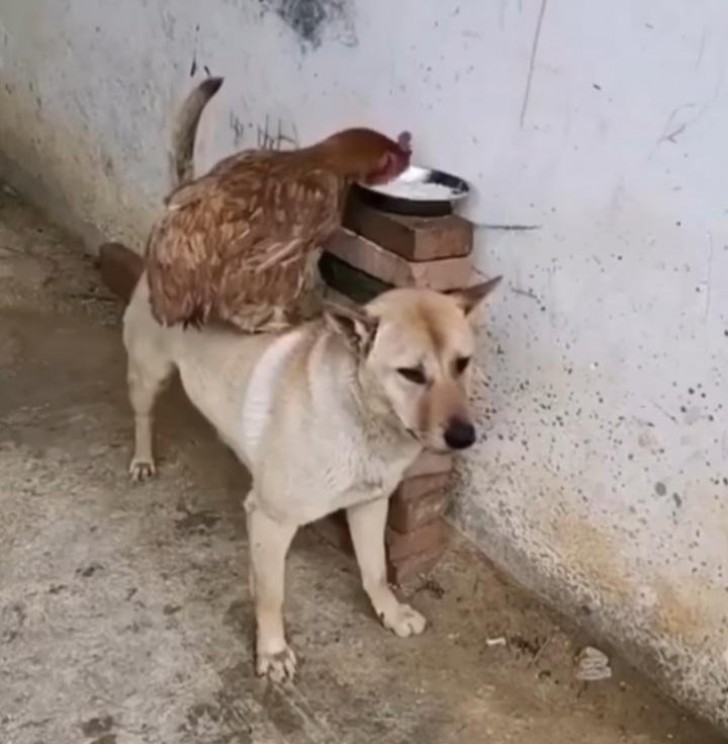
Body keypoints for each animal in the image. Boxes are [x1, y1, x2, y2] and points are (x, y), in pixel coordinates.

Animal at [123, 260, 500, 680]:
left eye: (462, 363)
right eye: (411, 374)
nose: (465, 437)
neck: (361, 416)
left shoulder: (370, 505)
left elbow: (375, 570)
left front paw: (390, 612)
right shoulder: (273, 520)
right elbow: (273, 596)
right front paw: (272, 649)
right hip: (148, 378)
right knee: (142, 416)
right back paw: (142, 458)